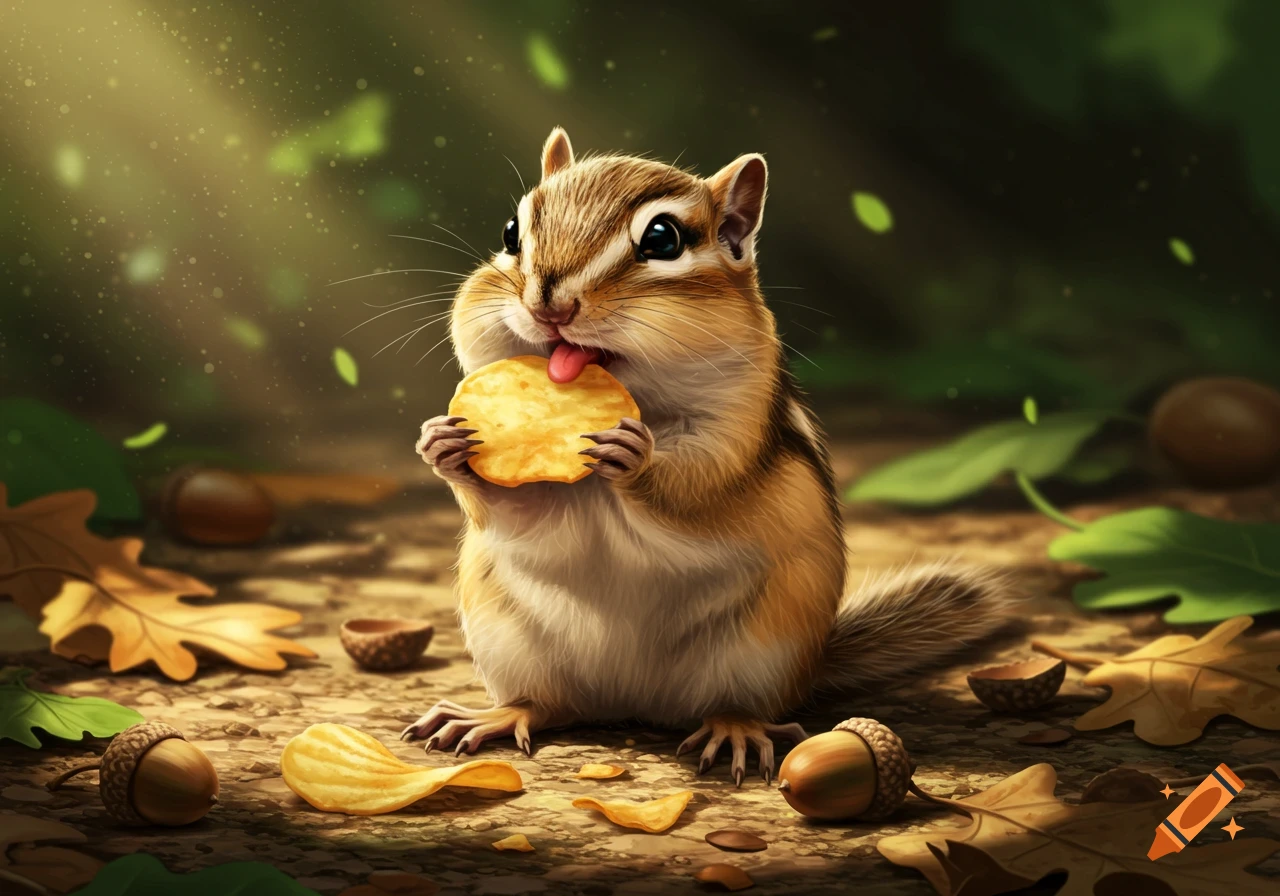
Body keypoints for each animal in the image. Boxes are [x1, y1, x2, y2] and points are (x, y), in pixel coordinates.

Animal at [402, 127, 1013, 785]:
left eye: (662, 238)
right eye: (511, 233)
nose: (549, 307)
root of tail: (632, 701)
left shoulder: (738, 426)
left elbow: (701, 488)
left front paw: (637, 459)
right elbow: (513, 511)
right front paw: (443, 446)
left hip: (763, 648)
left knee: (732, 703)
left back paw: (735, 730)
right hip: (508, 639)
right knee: (547, 704)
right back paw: (492, 715)